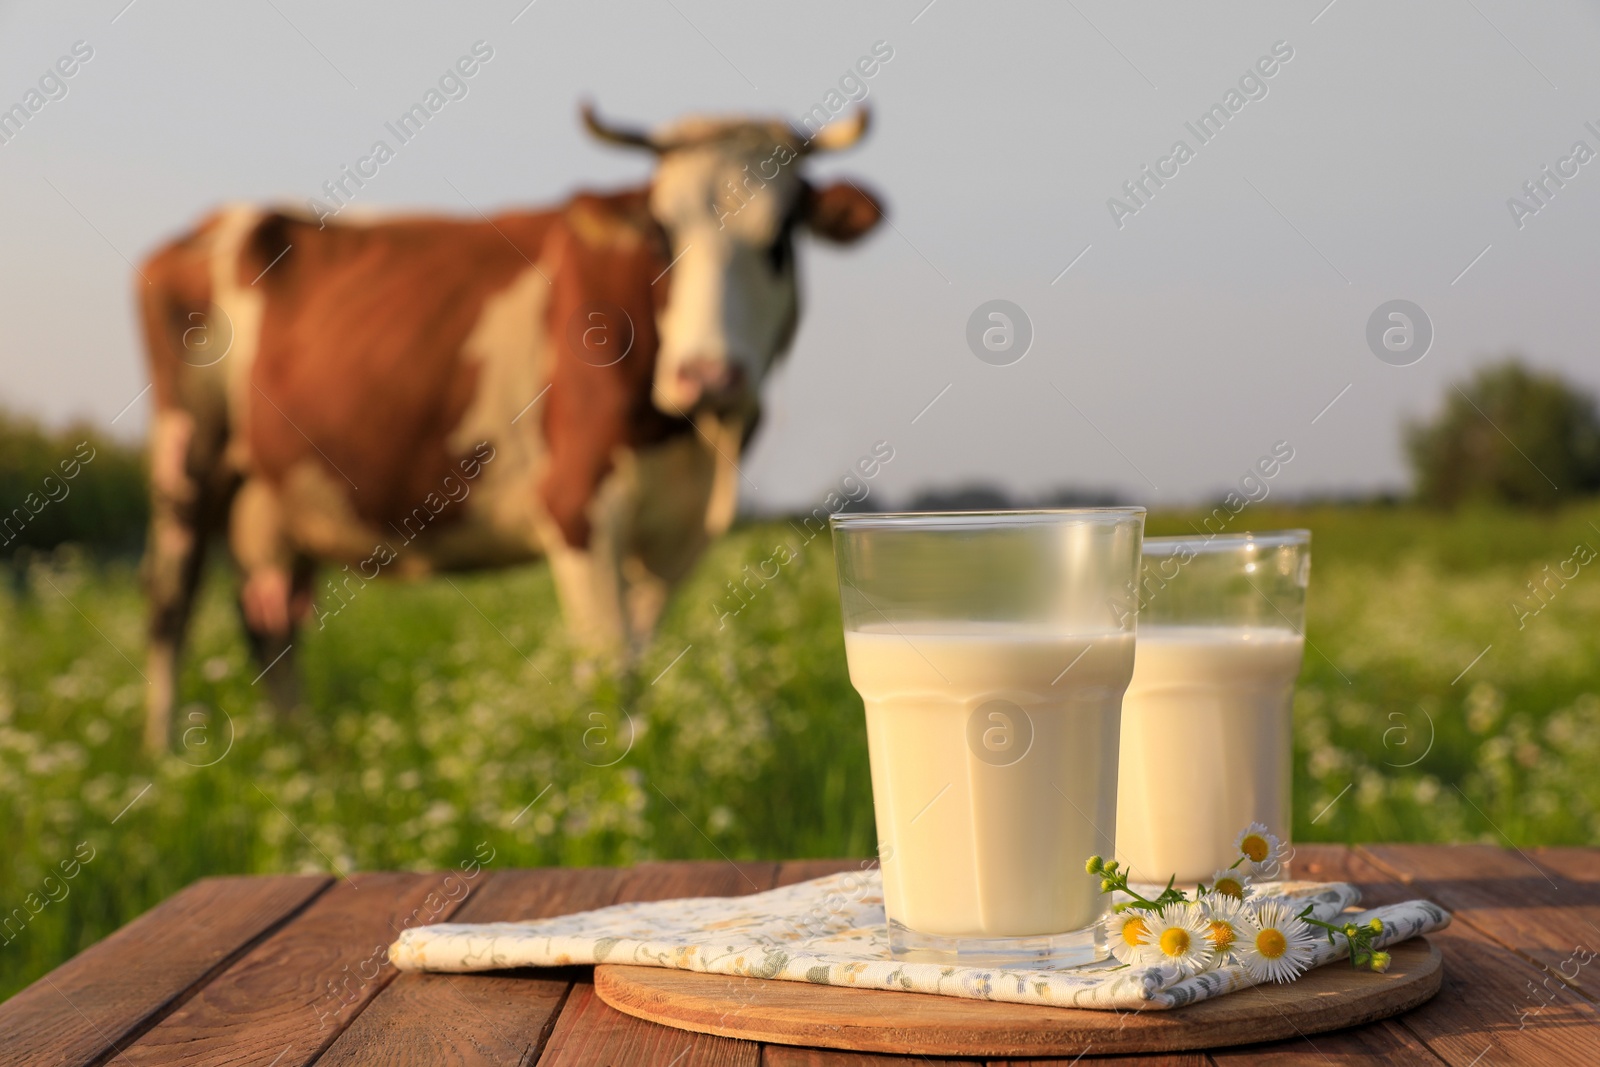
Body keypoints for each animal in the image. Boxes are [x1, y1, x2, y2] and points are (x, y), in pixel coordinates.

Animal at [134, 102, 889, 751]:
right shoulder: (578, 507)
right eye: (660, 235)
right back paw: (162, 761)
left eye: (780, 238)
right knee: (170, 607)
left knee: (271, 623)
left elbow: (640, 654)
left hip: (274, 497)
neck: (695, 445)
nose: (708, 375)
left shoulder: (679, 530)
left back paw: (303, 752)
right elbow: (609, 667)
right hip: (188, 458)